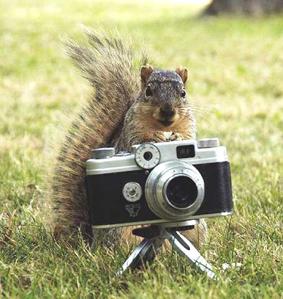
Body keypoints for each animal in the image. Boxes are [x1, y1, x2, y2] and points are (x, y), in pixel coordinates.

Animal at [48, 31, 207, 250]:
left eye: (183, 93)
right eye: (148, 91)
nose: (168, 110)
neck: (163, 126)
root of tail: (93, 240)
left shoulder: (189, 124)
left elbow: (189, 138)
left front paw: (177, 138)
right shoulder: (131, 129)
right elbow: (138, 141)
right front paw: (156, 138)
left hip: (196, 226)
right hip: (123, 231)